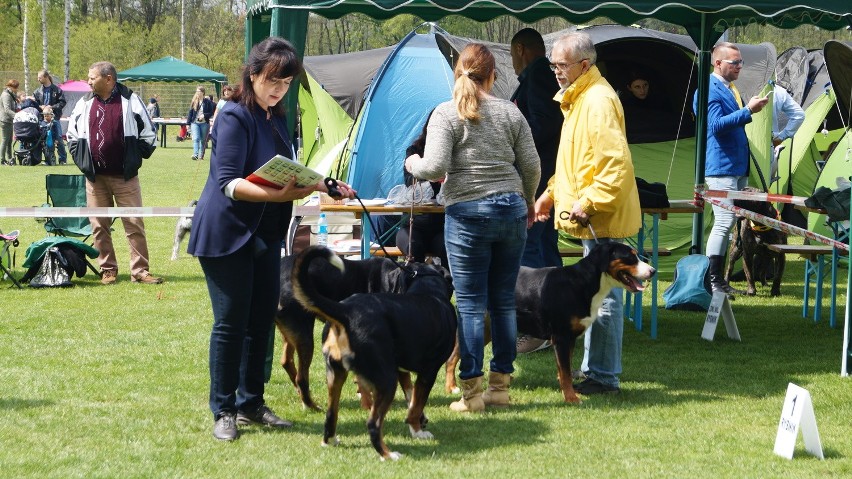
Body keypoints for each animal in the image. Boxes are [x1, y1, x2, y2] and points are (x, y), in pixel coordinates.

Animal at [292, 246, 456, 464]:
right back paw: (388, 454)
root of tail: (345, 310)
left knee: (331, 413)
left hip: (336, 374)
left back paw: (330, 440)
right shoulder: (429, 371)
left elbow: (411, 397)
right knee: (373, 423)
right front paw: (418, 430)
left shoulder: (401, 369)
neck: (428, 290)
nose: (434, 256)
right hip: (386, 380)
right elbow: (417, 402)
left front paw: (417, 425)